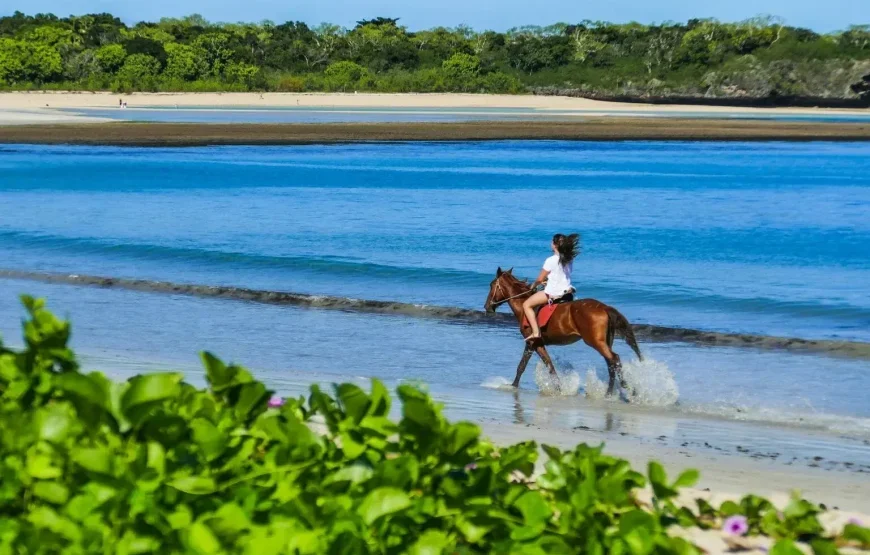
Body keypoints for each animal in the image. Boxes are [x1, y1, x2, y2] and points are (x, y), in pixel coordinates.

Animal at [484, 267, 643, 397]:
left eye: (491, 285)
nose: (487, 307)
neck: (524, 306)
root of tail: (604, 307)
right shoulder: (539, 343)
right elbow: (550, 366)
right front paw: (559, 388)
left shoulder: (531, 342)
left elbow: (522, 366)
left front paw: (513, 386)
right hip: (605, 342)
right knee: (611, 363)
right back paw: (613, 391)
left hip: (595, 342)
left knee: (614, 359)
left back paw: (623, 389)